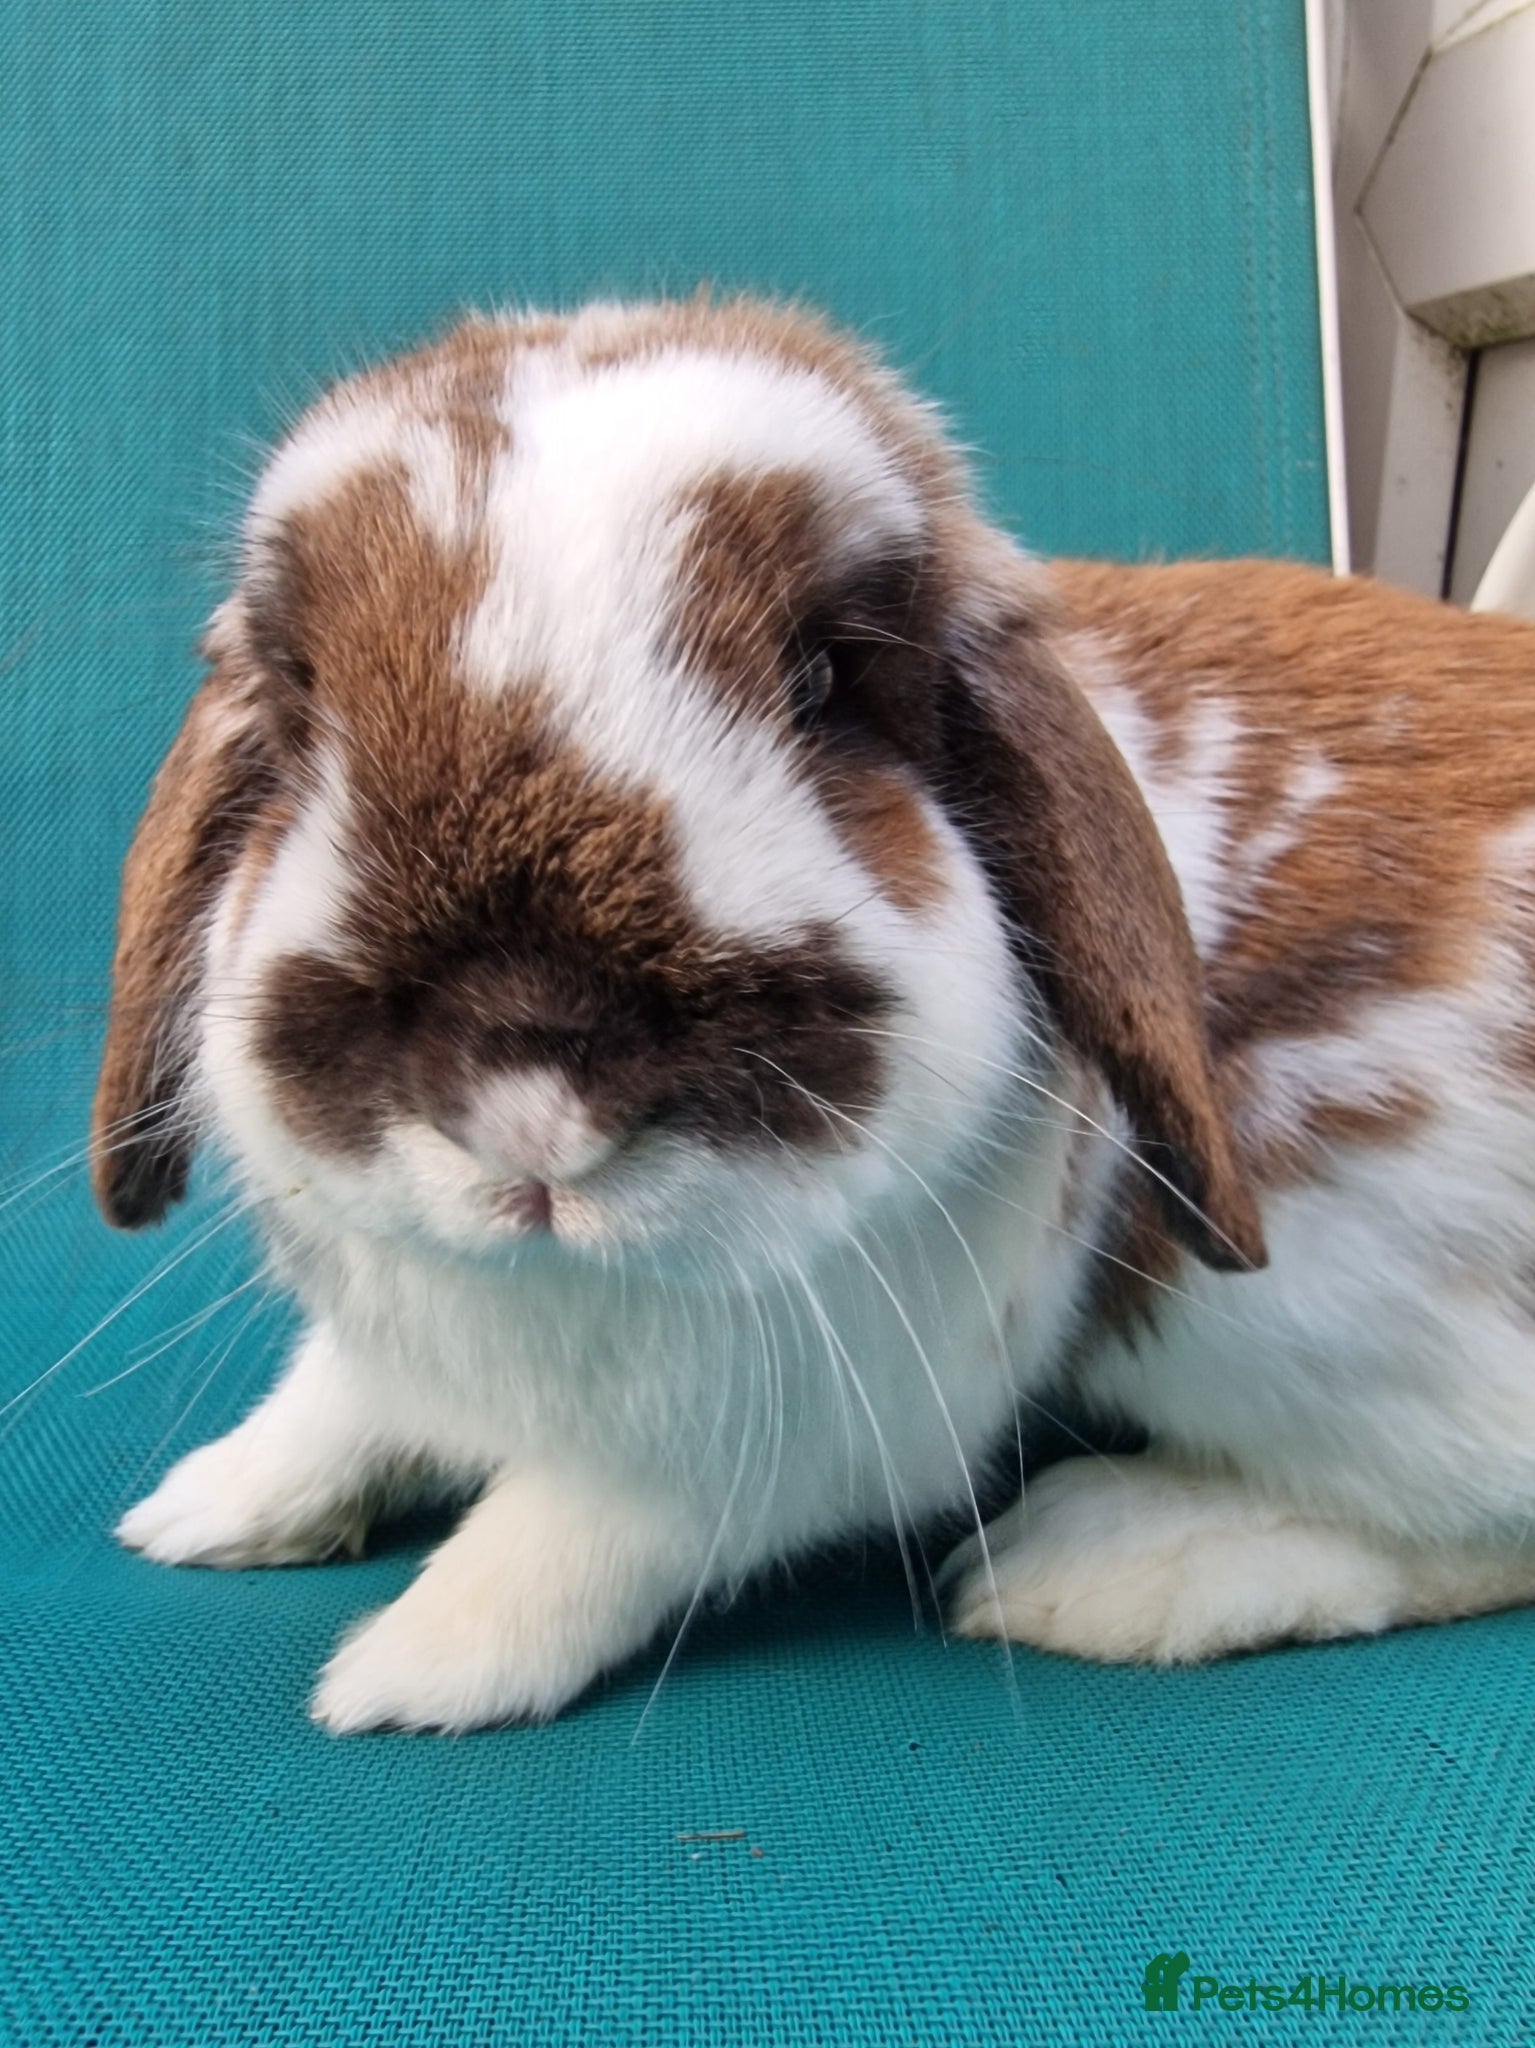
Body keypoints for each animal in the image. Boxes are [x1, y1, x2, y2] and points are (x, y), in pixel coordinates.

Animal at [92, 294, 1535, 1733]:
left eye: (826, 678)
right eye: (298, 692)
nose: (526, 1098)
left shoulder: (782, 1433)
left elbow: (578, 1532)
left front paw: (412, 1669)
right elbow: (338, 1399)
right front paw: (208, 1506)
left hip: (1286, 1314)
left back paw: (1100, 1563)